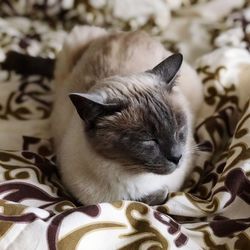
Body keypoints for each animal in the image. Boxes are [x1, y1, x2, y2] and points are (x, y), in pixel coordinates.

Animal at [51, 24, 203, 205]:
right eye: (149, 140)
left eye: (178, 131)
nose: (177, 157)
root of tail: (135, 32)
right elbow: (149, 199)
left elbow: (163, 193)